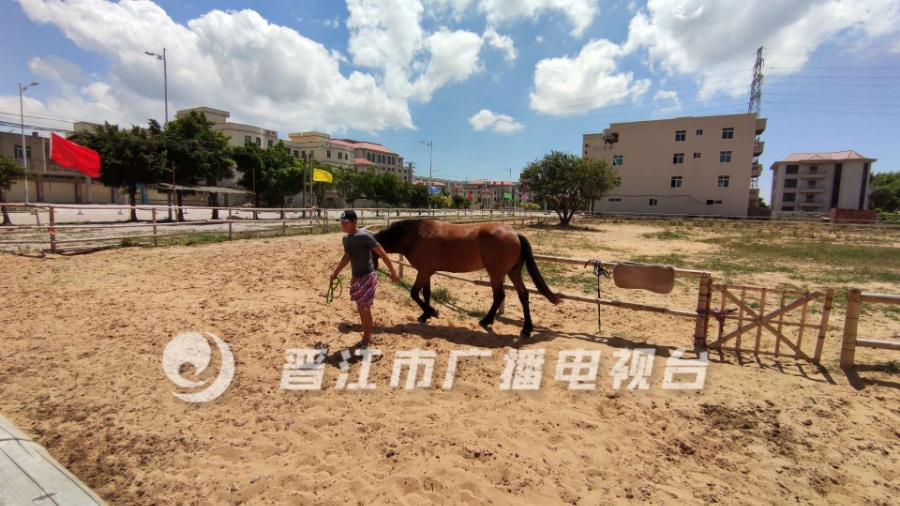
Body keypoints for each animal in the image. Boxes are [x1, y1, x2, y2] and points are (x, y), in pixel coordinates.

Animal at [370, 219, 556, 338]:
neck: (416, 235)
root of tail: (515, 234)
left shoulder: (424, 271)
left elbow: (415, 293)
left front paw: (432, 312)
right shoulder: (426, 271)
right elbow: (426, 293)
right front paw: (425, 316)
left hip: (496, 273)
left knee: (499, 296)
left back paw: (486, 321)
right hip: (513, 272)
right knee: (523, 295)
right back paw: (526, 329)